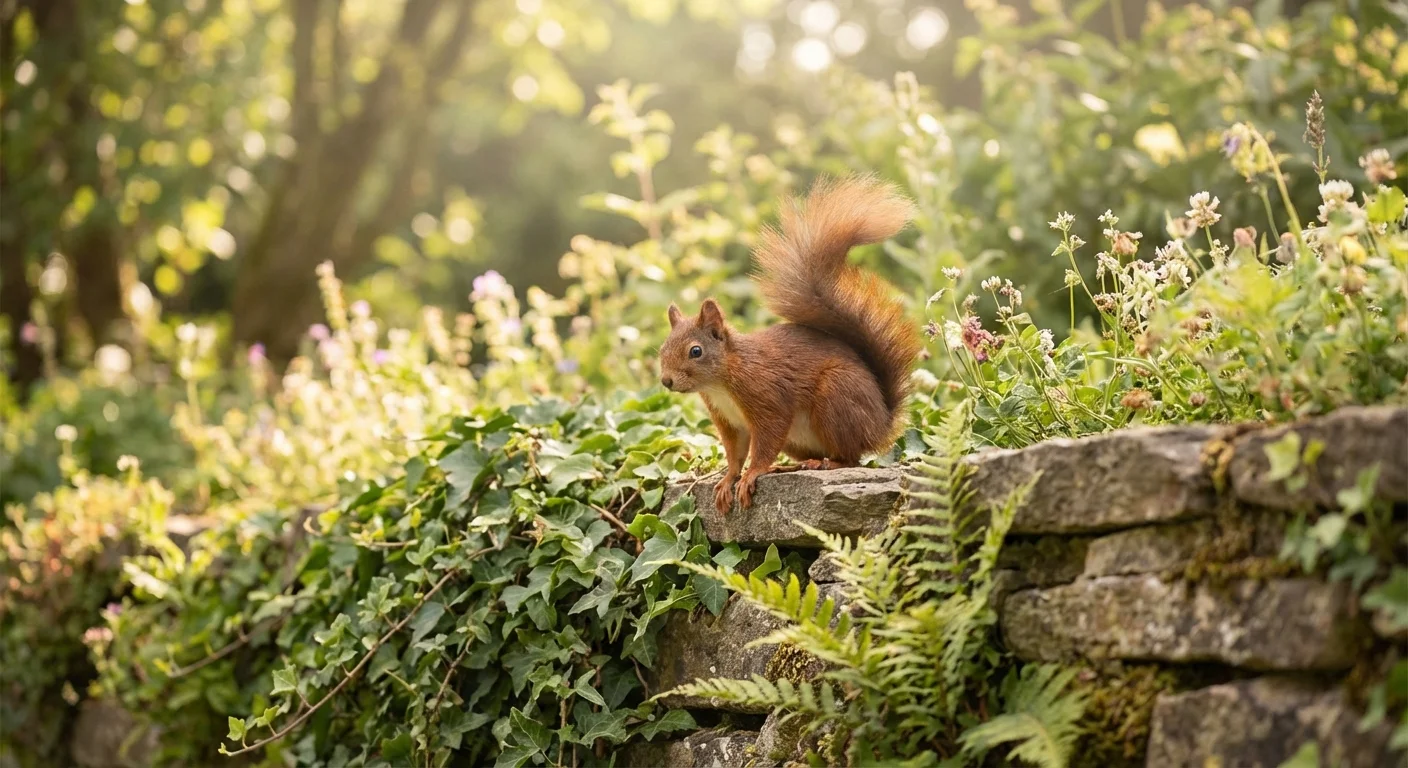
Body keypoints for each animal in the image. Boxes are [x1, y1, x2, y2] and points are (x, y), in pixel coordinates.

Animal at [658, 175, 922, 515]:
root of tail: (881, 423)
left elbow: (765, 442)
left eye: (696, 351)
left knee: (851, 457)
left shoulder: (767, 398)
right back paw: (790, 466)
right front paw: (728, 480)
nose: (666, 381)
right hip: (798, 439)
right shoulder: (729, 422)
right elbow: (735, 453)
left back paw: (826, 465)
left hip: (835, 398)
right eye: (662, 349)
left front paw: (752, 474)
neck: (723, 380)